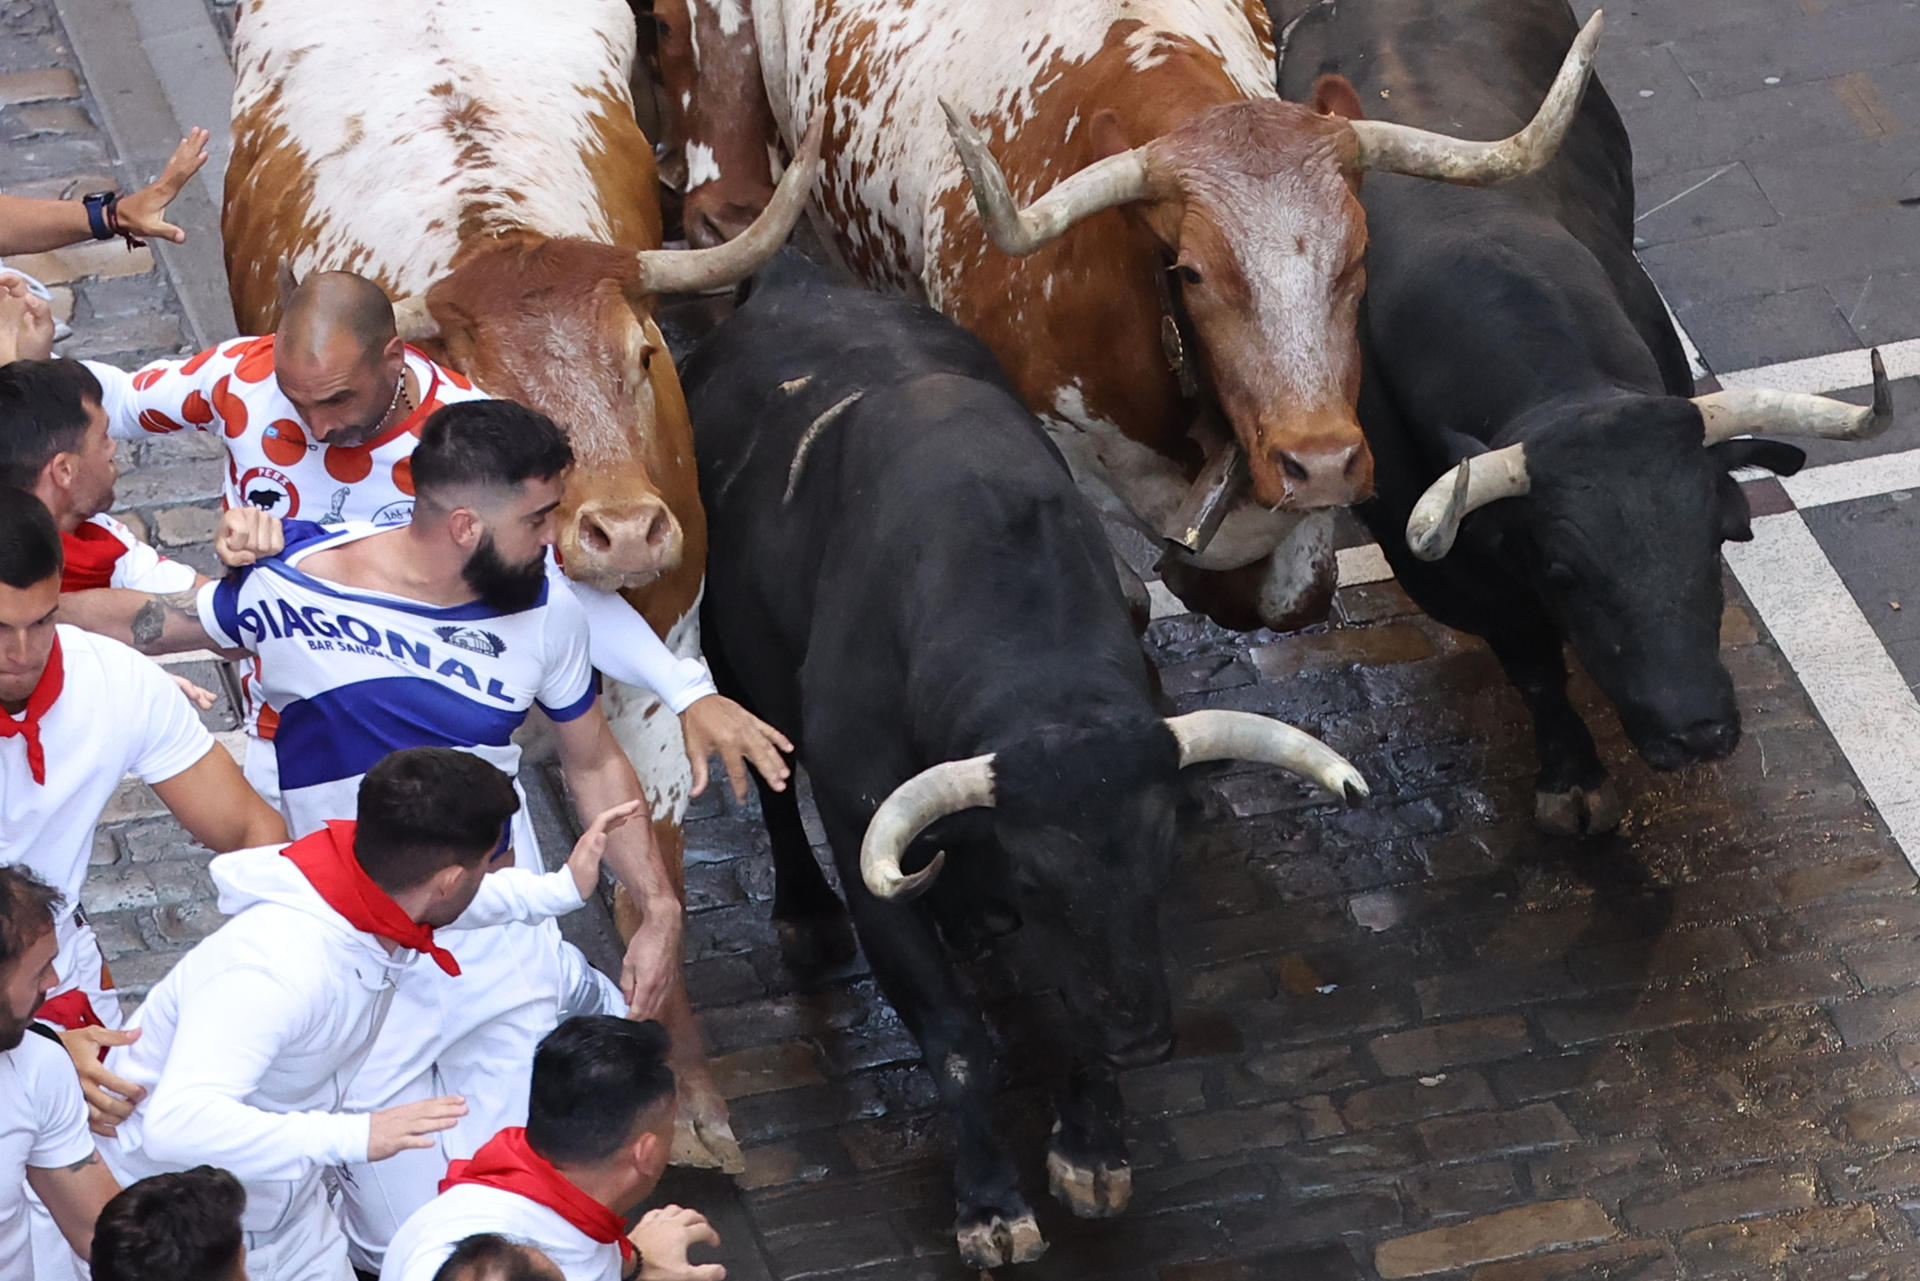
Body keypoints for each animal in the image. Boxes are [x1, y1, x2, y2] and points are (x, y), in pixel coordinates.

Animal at [683, 255, 1359, 1267]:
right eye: (1039, 879)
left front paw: (1092, 1147)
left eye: (1160, 862)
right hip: (733, 660)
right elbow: (957, 1038)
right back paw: (805, 912)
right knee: (768, 785)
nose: (1143, 1040)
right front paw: (991, 1203)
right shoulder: (860, 826)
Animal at [1267, 0, 1881, 837]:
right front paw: (1573, 776)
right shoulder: (1456, 576)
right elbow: (1532, 667)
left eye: (1719, 537)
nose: (1697, 730)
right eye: (1564, 569)